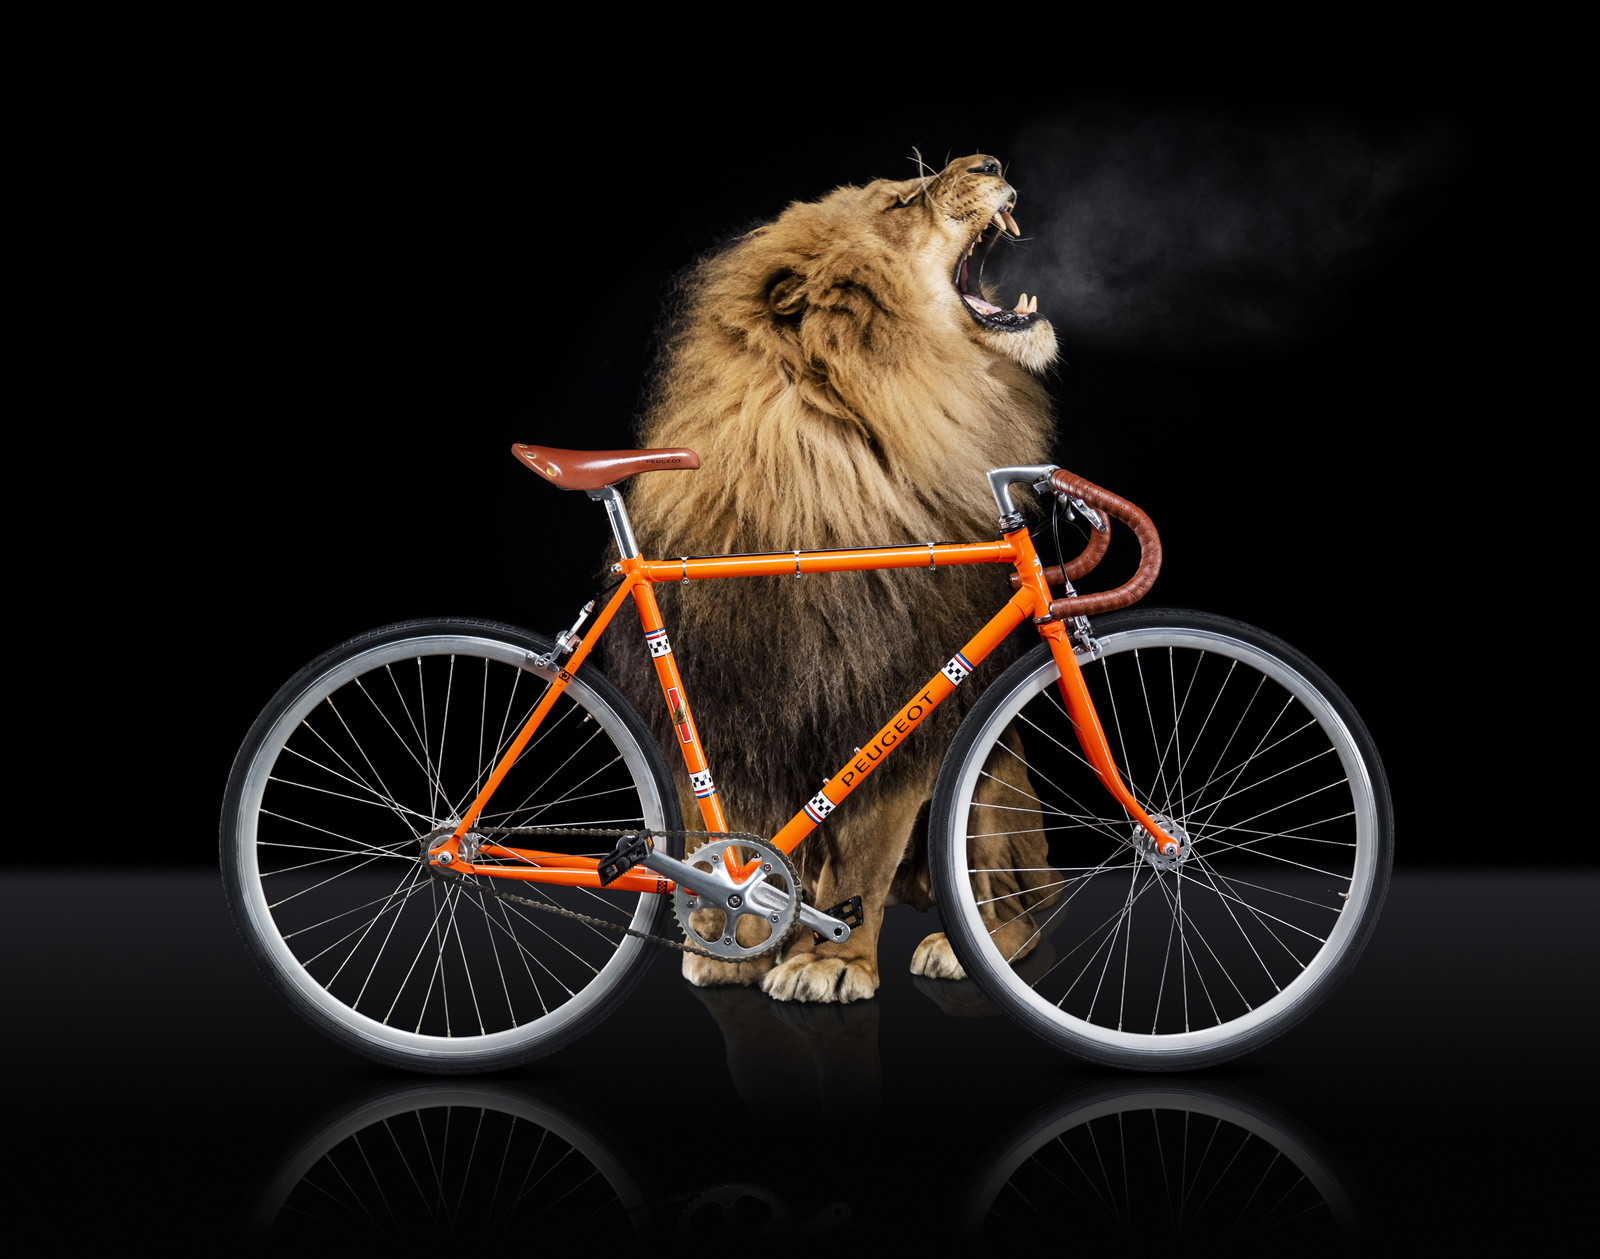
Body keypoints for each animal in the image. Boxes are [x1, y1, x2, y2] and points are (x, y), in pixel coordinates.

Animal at [605, 153, 1061, 1002]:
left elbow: (861, 852)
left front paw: (827, 960)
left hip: (992, 785)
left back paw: (959, 945)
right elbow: (743, 832)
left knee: (1021, 908)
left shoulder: (891, 696)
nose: (987, 161)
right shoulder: (735, 699)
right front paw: (740, 944)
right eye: (904, 200)